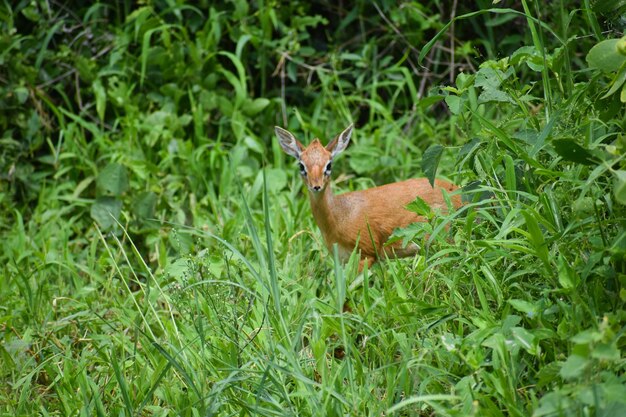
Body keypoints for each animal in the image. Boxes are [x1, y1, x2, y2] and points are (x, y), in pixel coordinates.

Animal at [276, 122, 460, 270]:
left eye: (329, 165)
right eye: (301, 165)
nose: (316, 186)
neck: (339, 217)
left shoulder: (367, 251)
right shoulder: (343, 259)